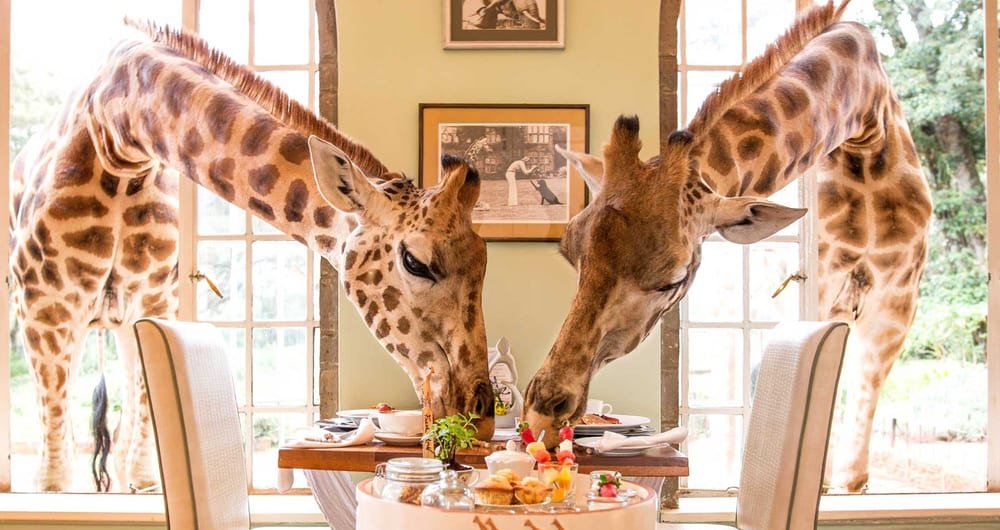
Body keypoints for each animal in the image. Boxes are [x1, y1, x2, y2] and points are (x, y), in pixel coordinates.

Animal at [8, 21, 494, 492]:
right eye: (415, 262)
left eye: (484, 263)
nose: (483, 415)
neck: (120, 135)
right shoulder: (45, 311)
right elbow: (54, 478)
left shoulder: (153, 304)